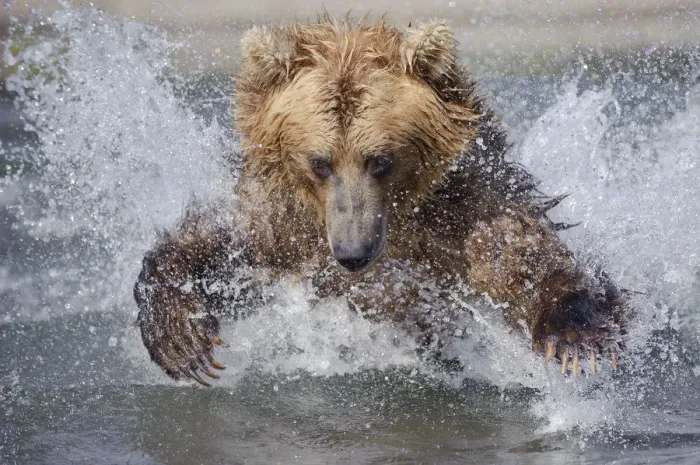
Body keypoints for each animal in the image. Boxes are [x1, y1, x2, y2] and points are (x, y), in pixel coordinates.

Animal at [133, 16, 629, 386]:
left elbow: (518, 257)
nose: (353, 253)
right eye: (319, 161)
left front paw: (575, 335)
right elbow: (219, 244)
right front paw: (181, 339)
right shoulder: (284, 222)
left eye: (380, 160)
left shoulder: (463, 211)